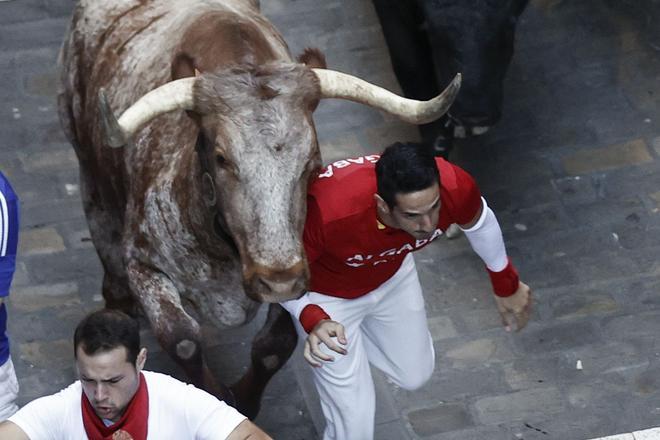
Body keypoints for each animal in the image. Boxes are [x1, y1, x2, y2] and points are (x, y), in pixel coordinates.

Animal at [55, 0, 458, 416]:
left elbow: (275, 343)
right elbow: (183, 339)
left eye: (312, 160)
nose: (277, 278)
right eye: (221, 158)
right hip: (88, 171)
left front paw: (244, 400)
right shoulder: (143, 262)